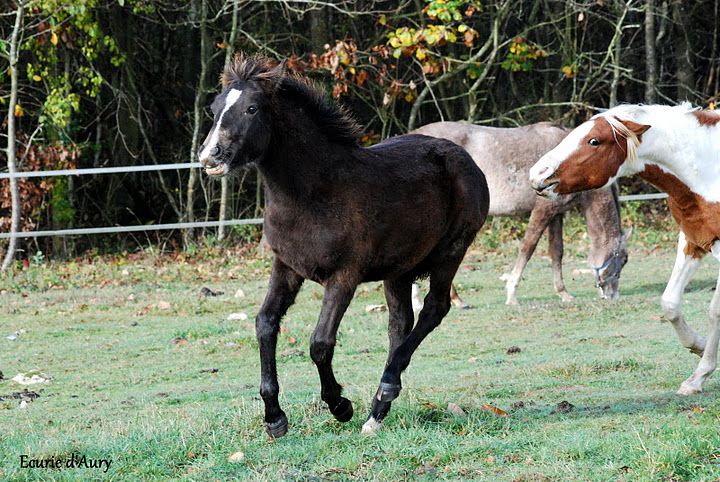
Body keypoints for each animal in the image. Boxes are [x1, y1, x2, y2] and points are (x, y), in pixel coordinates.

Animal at [198, 53, 489, 437]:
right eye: (215, 107)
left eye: (251, 108)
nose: (210, 157)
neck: (313, 194)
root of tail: (468, 161)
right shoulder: (286, 267)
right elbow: (265, 324)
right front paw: (275, 417)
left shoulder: (343, 276)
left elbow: (320, 343)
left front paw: (339, 405)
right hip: (399, 268)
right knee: (400, 323)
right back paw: (377, 412)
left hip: (450, 253)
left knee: (433, 309)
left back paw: (385, 387)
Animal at [411, 121, 631, 306]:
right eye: (623, 260)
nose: (613, 296)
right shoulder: (542, 209)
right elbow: (528, 248)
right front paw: (511, 294)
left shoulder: (556, 214)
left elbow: (556, 251)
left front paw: (563, 293)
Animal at [530, 102, 720, 395]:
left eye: (594, 141)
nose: (537, 174)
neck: (709, 169)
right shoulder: (693, 240)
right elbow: (670, 303)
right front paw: (697, 352)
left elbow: (715, 311)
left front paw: (700, 375)